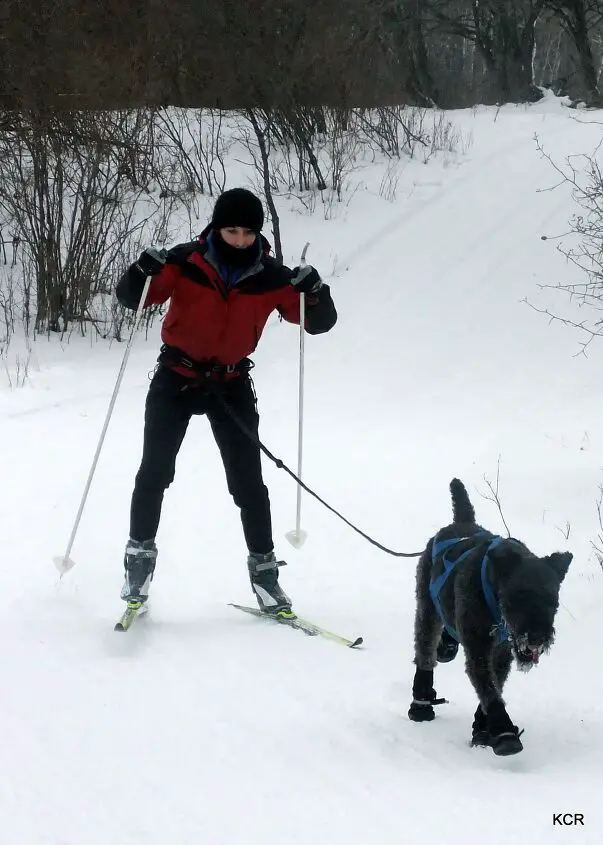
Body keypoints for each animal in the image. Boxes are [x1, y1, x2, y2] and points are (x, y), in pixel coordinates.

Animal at [408, 478, 572, 756]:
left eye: (553, 601)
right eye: (517, 597)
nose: (537, 637)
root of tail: (461, 521)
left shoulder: (503, 650)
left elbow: (496, 684)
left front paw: (483, 730)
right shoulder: (479, 648)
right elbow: (489, 688)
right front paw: (504, 731)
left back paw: (447, 645)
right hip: (427, 609)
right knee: (425, 651)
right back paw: (420, 704)